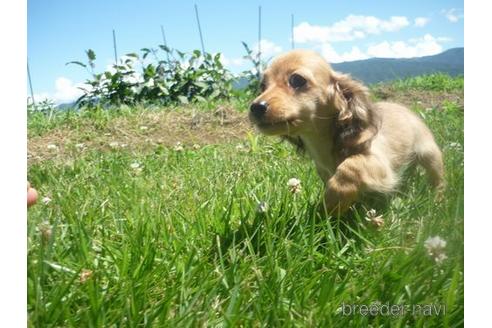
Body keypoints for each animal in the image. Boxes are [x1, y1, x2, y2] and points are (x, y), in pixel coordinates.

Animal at [248, 48, 444, 214]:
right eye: (263, 85)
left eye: (297, 80)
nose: (256, 107)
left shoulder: (380, 164)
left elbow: (350, 167)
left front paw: (332, 200)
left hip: (429, 154)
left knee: (438, 180)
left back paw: (437, 201)